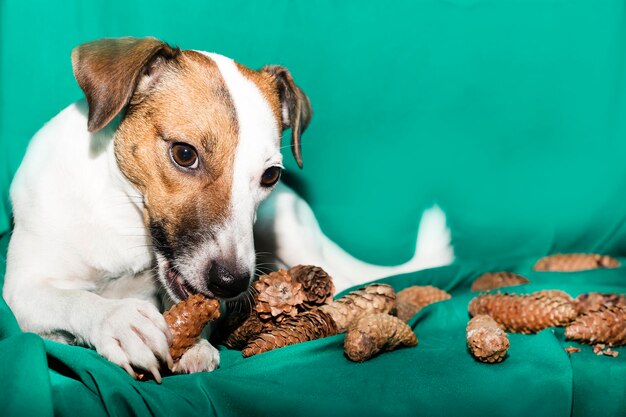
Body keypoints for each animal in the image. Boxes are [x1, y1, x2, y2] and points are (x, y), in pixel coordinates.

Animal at [1, 35, 454, 380]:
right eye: (184, 154)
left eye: (270, 175)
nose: (231, 283)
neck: (123, 216)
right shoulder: (20, 291)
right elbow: (73, 300)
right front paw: (116, 320)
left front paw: (193, 343)